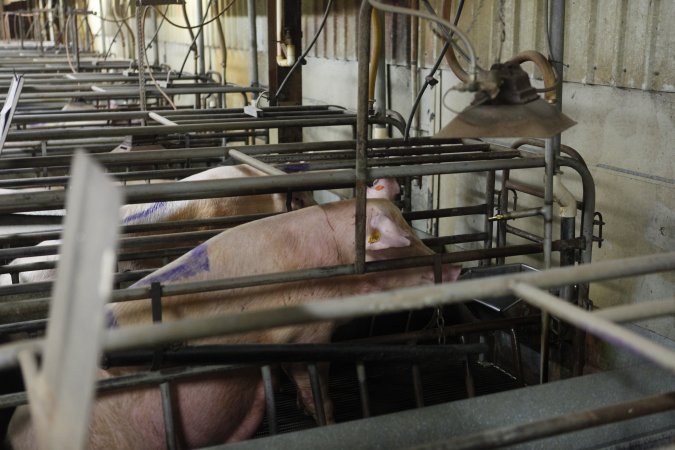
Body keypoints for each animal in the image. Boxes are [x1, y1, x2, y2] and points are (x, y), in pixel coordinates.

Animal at [7, 199, 462, 448]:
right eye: (404, 241)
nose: (456, 267)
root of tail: (16, 433)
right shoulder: (304, 334)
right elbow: (315, 385)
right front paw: (327, 421)